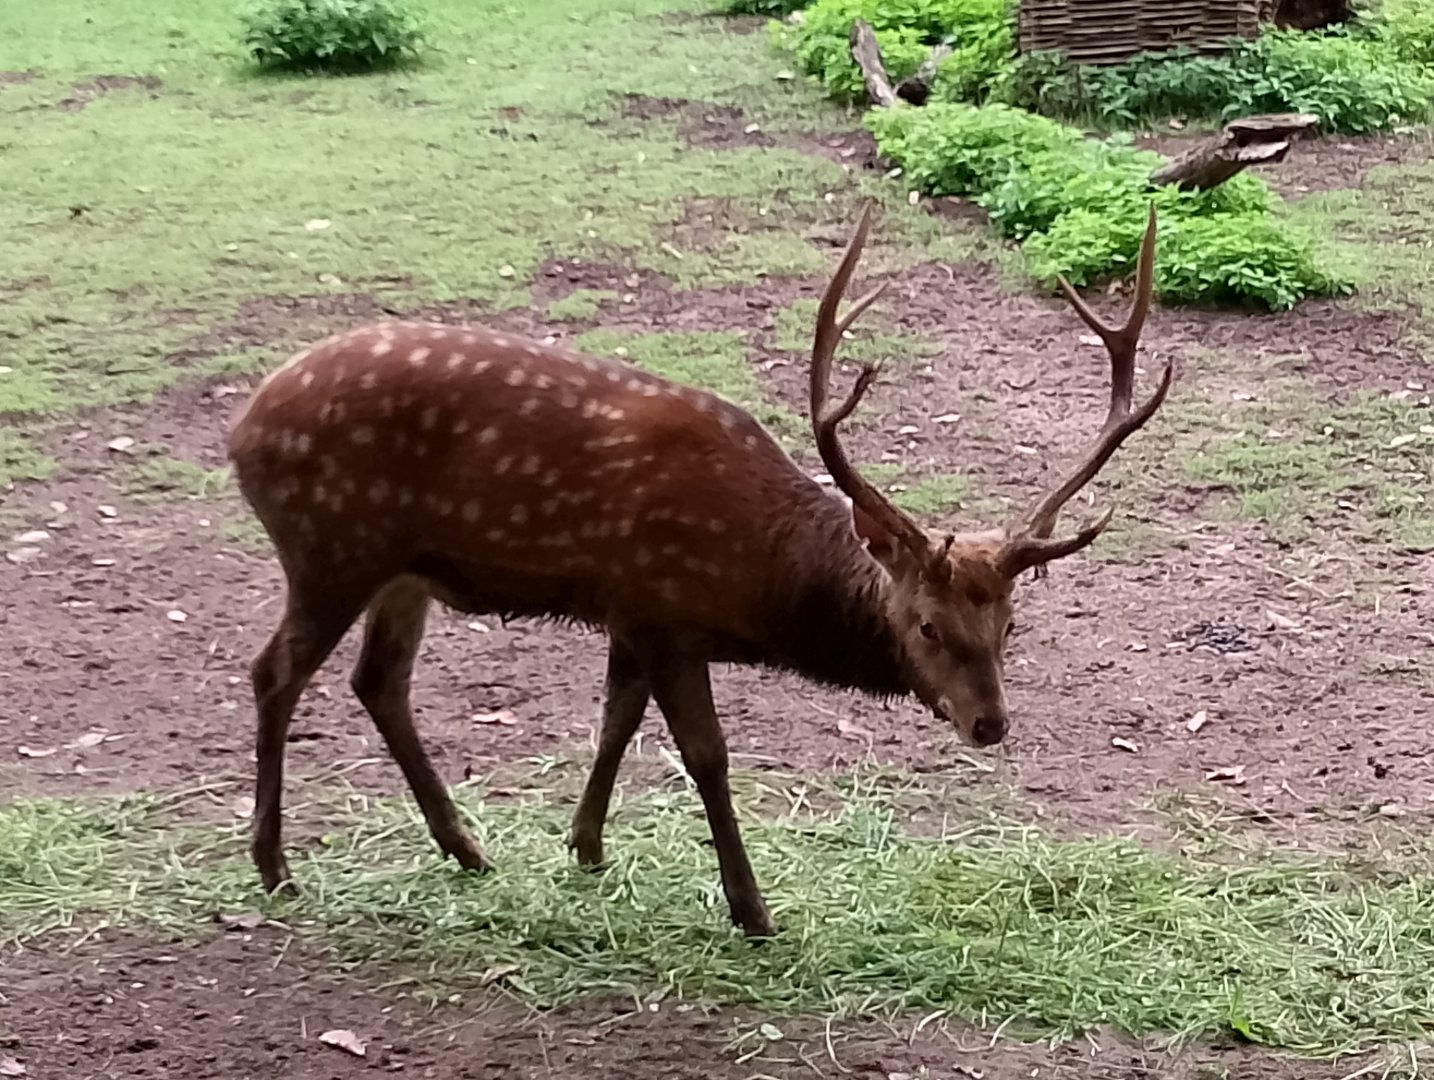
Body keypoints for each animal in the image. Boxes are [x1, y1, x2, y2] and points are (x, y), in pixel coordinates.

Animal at [226, 202, 1170, 939]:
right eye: (927, 625)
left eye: (1011, 623)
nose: (990, 725)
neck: (755, 578)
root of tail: (241, 431)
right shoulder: (665, 609)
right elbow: (706, 755)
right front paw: (752, 910)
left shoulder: (629, 610)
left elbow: (615, 721)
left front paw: (586, 847)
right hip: (332, 546)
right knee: (274, 670)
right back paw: (274, 864)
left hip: (403, 573)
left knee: (377, 681)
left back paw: (465, 848)